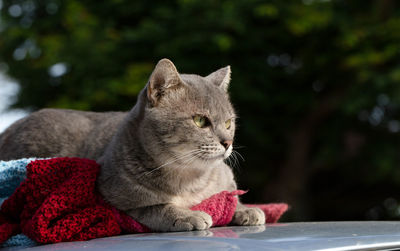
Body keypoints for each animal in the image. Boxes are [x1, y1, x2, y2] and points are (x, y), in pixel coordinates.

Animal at [0, 58, 266, 231]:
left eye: (229, 122)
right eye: (200, 121)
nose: (227, 142)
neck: (189, 179)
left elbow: (230, 196)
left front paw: (245, 209)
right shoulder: (112, 199)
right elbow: (157, 207)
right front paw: (186, 216)